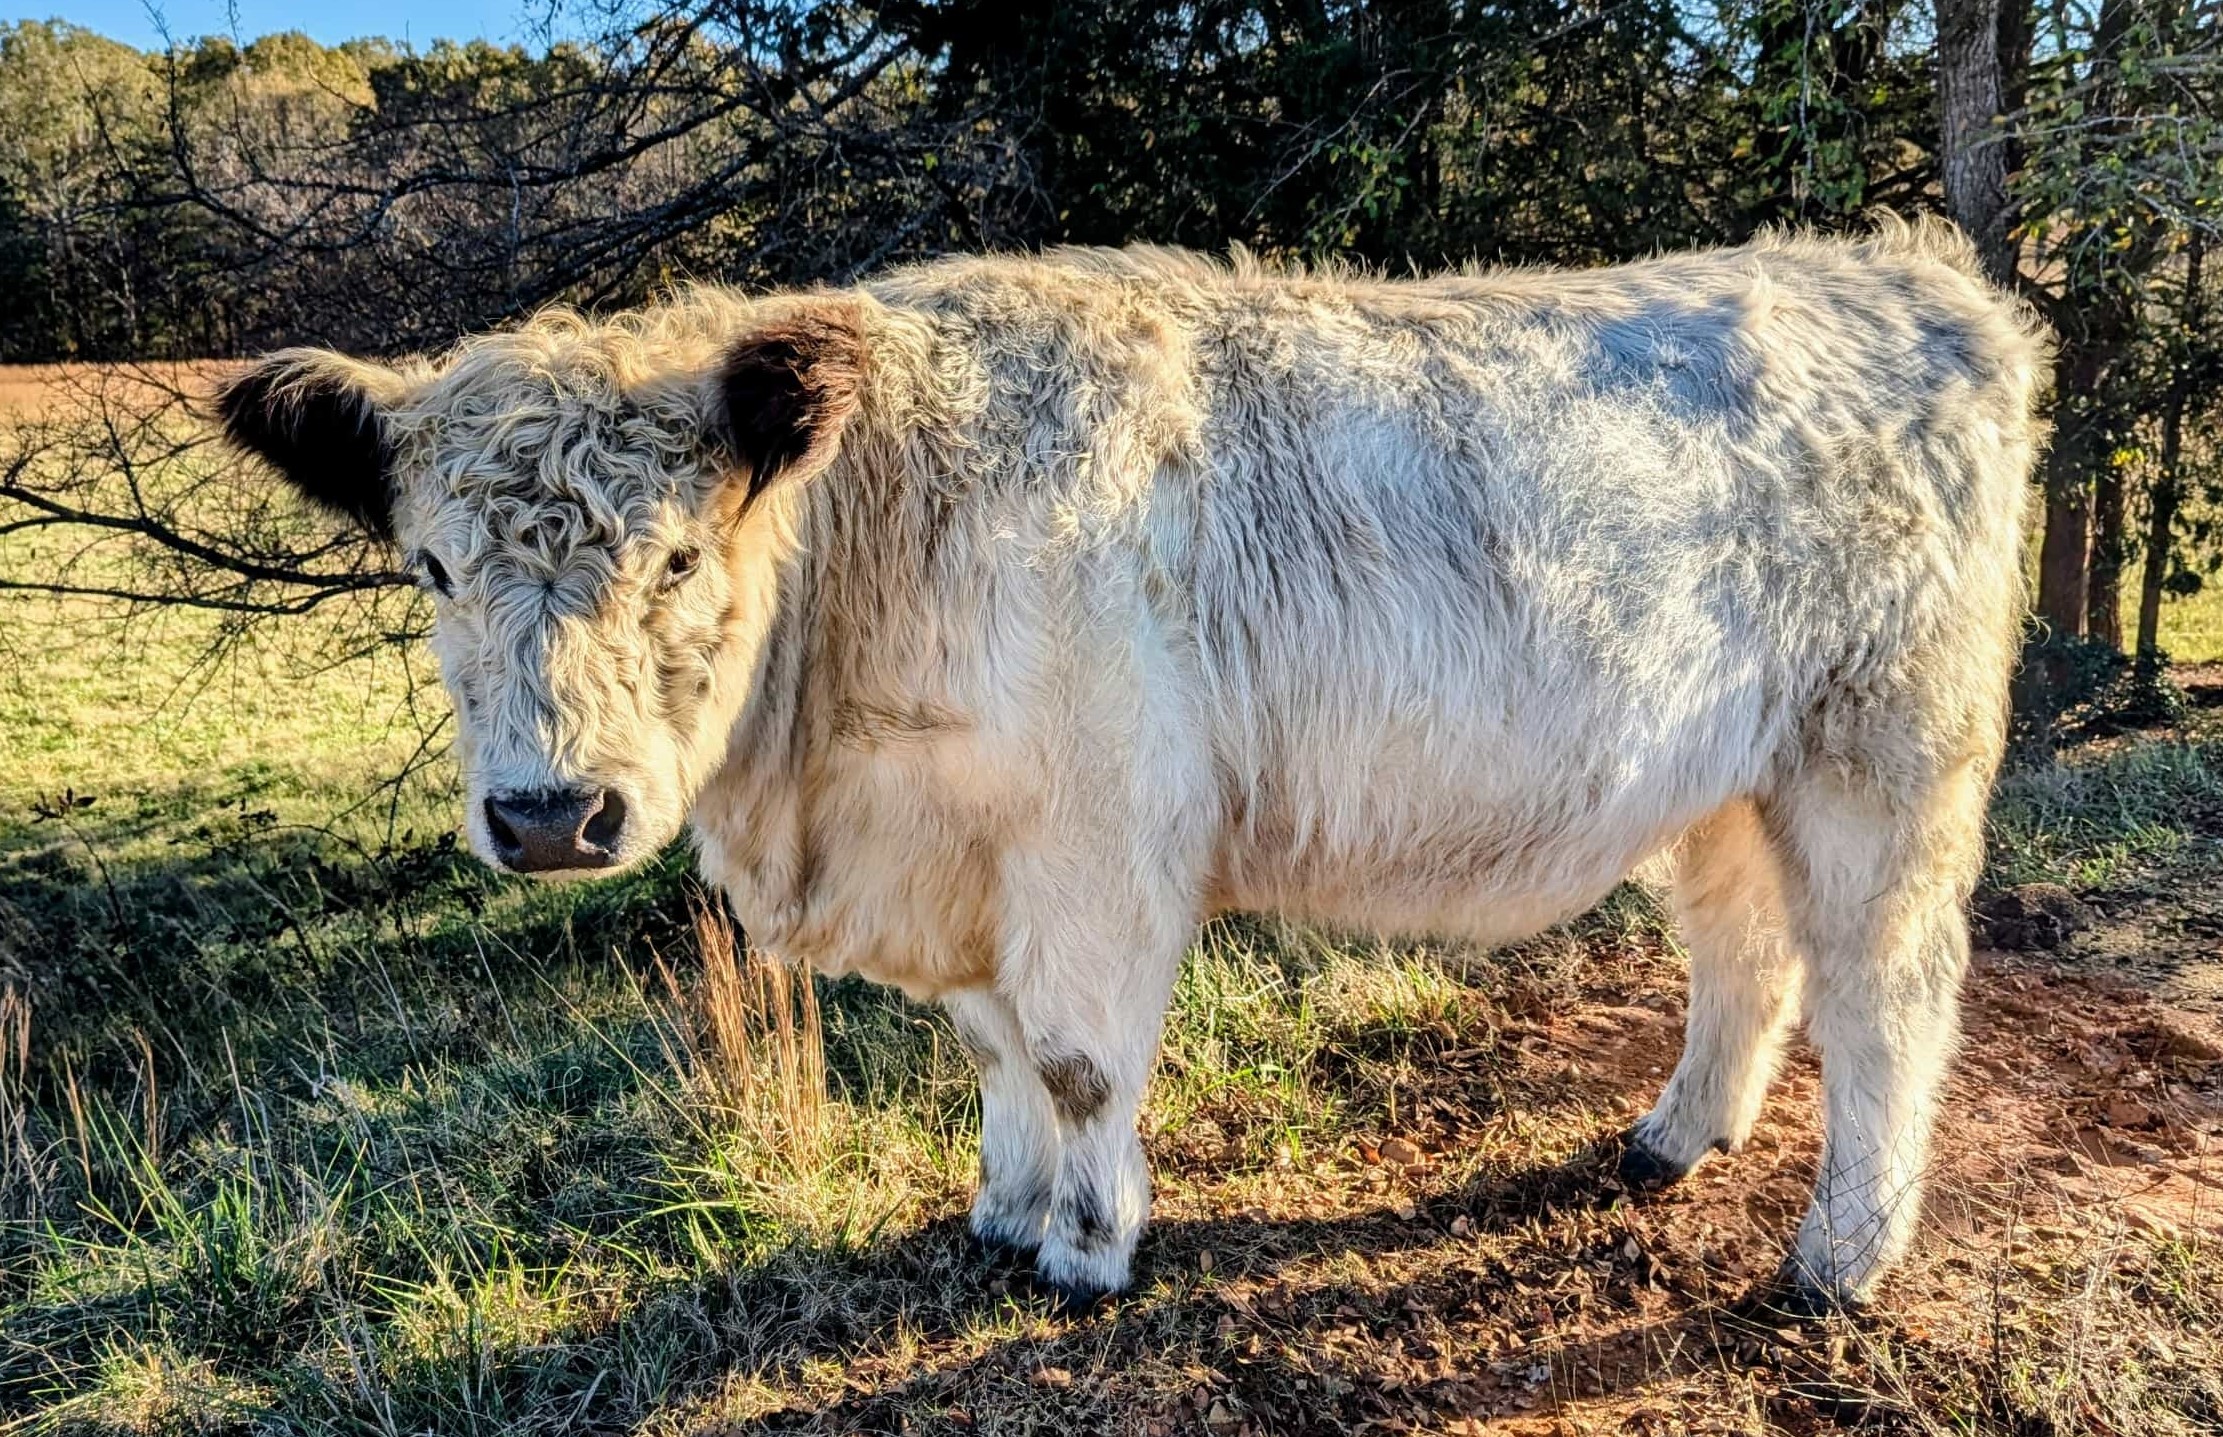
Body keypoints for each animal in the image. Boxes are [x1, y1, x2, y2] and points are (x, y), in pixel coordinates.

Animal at [216, 218, 2048, 1314]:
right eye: (430, 569)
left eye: (673, 557)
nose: (548, 814)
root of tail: (1907, 277)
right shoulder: (968, 862)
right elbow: (996, 1055)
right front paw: (1005, 1207)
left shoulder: (1092, 841)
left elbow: (1082, 1058)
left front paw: (1087, 1248)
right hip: (1725, 772)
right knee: (1744, 951)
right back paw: (1675, 1136)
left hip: (1885, 758)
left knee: (1885, 995)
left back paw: (1841, 1251)